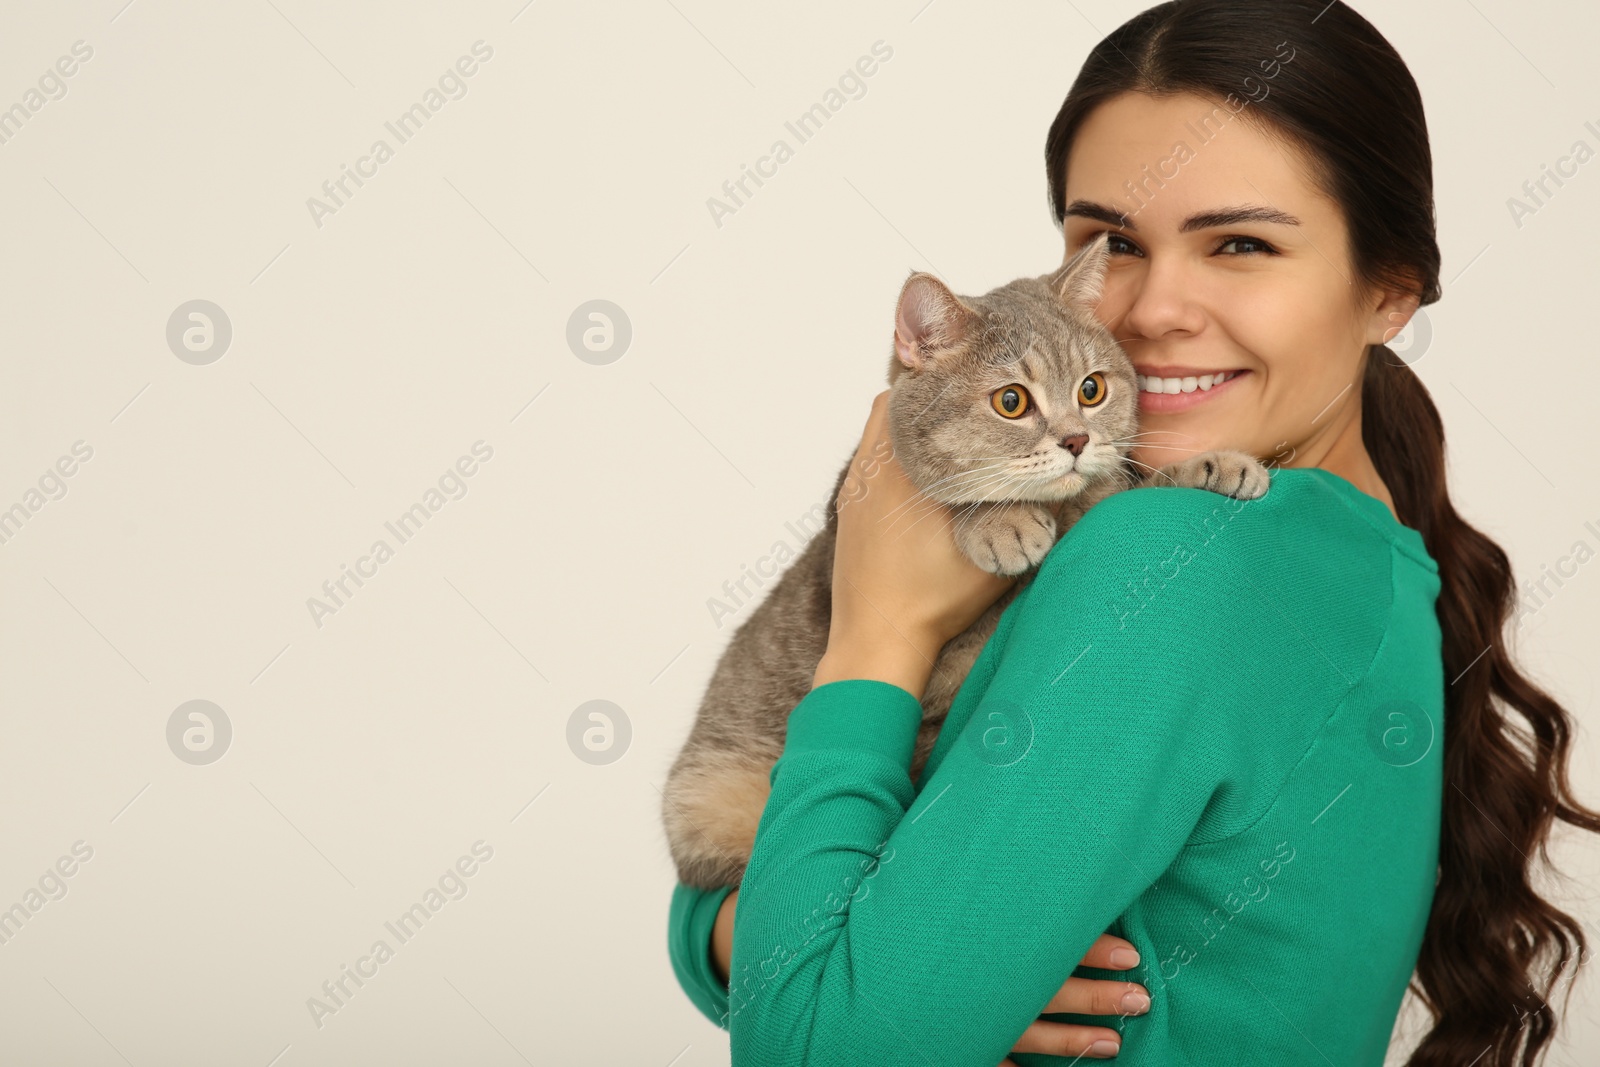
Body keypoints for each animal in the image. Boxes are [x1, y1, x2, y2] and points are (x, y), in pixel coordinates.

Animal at [656, 235, 1267, 895]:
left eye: (1092, 390)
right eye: (1011, 401)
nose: (1076, 441)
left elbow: (1118, 489)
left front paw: (1214, 464)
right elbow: (967, 498)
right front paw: (1001, 523)